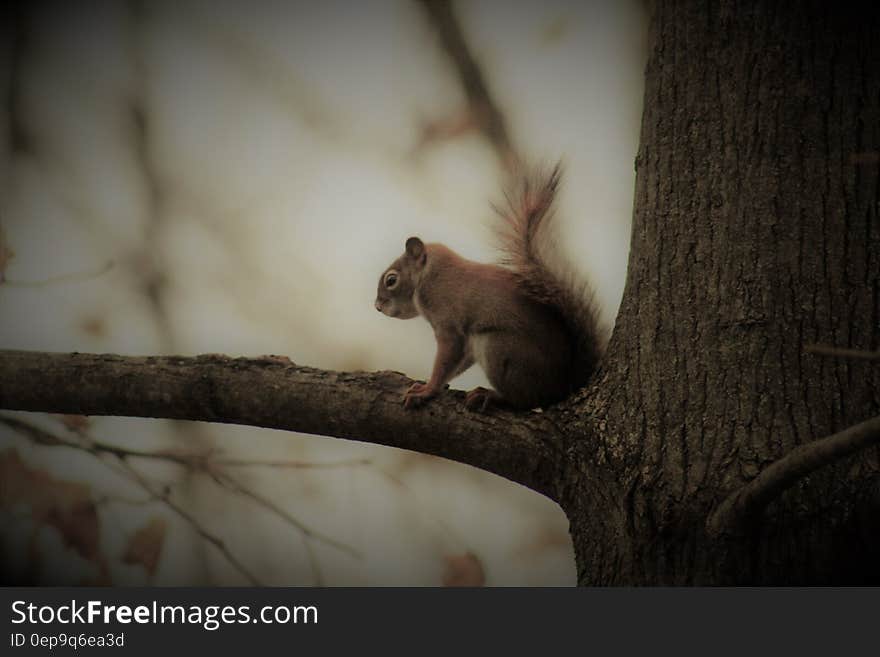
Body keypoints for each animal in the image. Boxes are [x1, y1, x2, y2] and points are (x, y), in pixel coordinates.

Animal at [374, 164, 600, 410]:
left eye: (391, 280)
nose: (377, 306)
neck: (429, 274)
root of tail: (562, 388)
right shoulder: (465, 341)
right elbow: (457, 364)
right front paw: (427, 384)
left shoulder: (448, 321)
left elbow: (446, 358)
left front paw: (426, 391)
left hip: (499, 347)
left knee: (526, 399)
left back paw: (490, 395)